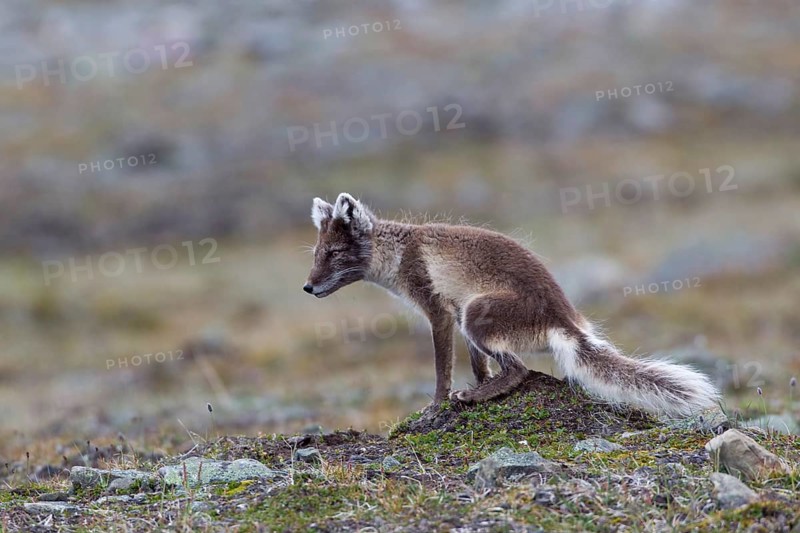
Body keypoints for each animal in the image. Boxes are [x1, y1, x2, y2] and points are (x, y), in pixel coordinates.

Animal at [303, 193, 719, 418]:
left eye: (335, 253)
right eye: (317, 253)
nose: (307, 287)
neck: (400, 252)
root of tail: (565, 320)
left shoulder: (440, 312)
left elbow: (442, 370)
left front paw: (438, 404)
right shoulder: (455, 311)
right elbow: (477, 365)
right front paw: (479, 384)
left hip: (477, 314)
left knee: (520, 369)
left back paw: (474, 397)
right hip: (471, 315)